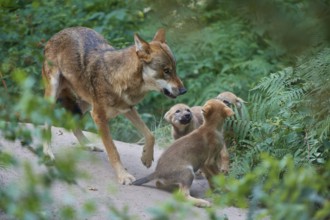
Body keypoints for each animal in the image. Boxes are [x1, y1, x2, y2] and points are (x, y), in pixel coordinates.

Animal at [41, 27, 186, 184]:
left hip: (84, 104)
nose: (184, 90)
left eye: (175, 69)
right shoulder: (98, 116)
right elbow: (113, 150)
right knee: (47, 124)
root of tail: (59, 33)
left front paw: (146, 158)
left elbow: (150, 135)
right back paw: (48, 154)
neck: (119, 78)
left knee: (70, 120)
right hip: (55, 93)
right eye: (166, 71)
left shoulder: (128, 109)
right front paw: (123, 176)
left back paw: (87, 145)